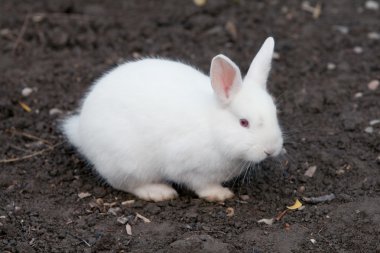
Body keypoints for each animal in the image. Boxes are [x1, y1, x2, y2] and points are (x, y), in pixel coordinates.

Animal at [61, 37, 282, 202]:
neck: (213, 128)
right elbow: (201, 185)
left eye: (275, 112)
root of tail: (81, 131)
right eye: (244, 122)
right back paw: (159, 192)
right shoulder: (189, 168)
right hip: (127, 162)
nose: (271, 150)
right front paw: (220, 194)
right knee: (125, 184)